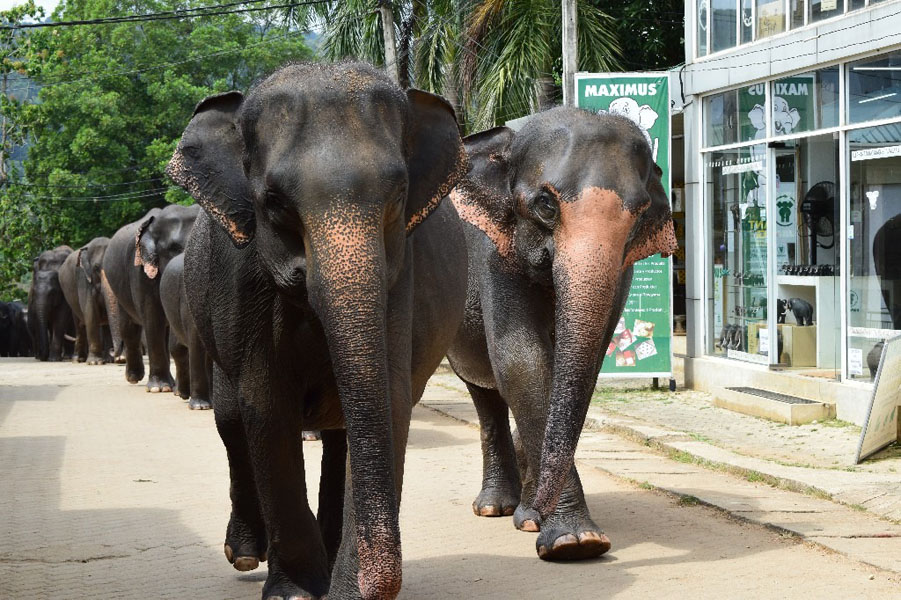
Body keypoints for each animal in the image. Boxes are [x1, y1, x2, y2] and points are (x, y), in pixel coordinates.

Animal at [103, 204, 199, 392]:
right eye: (175, 248)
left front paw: (174, 390)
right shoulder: (140, 270)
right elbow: (153, 317)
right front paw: (160, 388)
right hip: (119, 290)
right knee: (129, 327)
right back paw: (134, 377)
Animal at [166, 62, 467, 599]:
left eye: (397, 197)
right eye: (274, 203)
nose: (372, 584)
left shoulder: (401, 278)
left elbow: (389, 400)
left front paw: (345, 591)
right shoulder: (242, 283)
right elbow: (265, 408)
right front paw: (294, 592)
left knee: (341, 434)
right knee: (230, 419)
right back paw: (247, 555)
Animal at [445, 108, 677, 561]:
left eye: (640, 213)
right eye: (546, 205)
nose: (535, 513)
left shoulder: (622, 267)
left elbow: (584, 367)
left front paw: (546, 526)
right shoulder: (491, 251)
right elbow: (521, 360)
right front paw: (575, 542)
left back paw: (518, 510)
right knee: (484, 393)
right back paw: (494, 507)